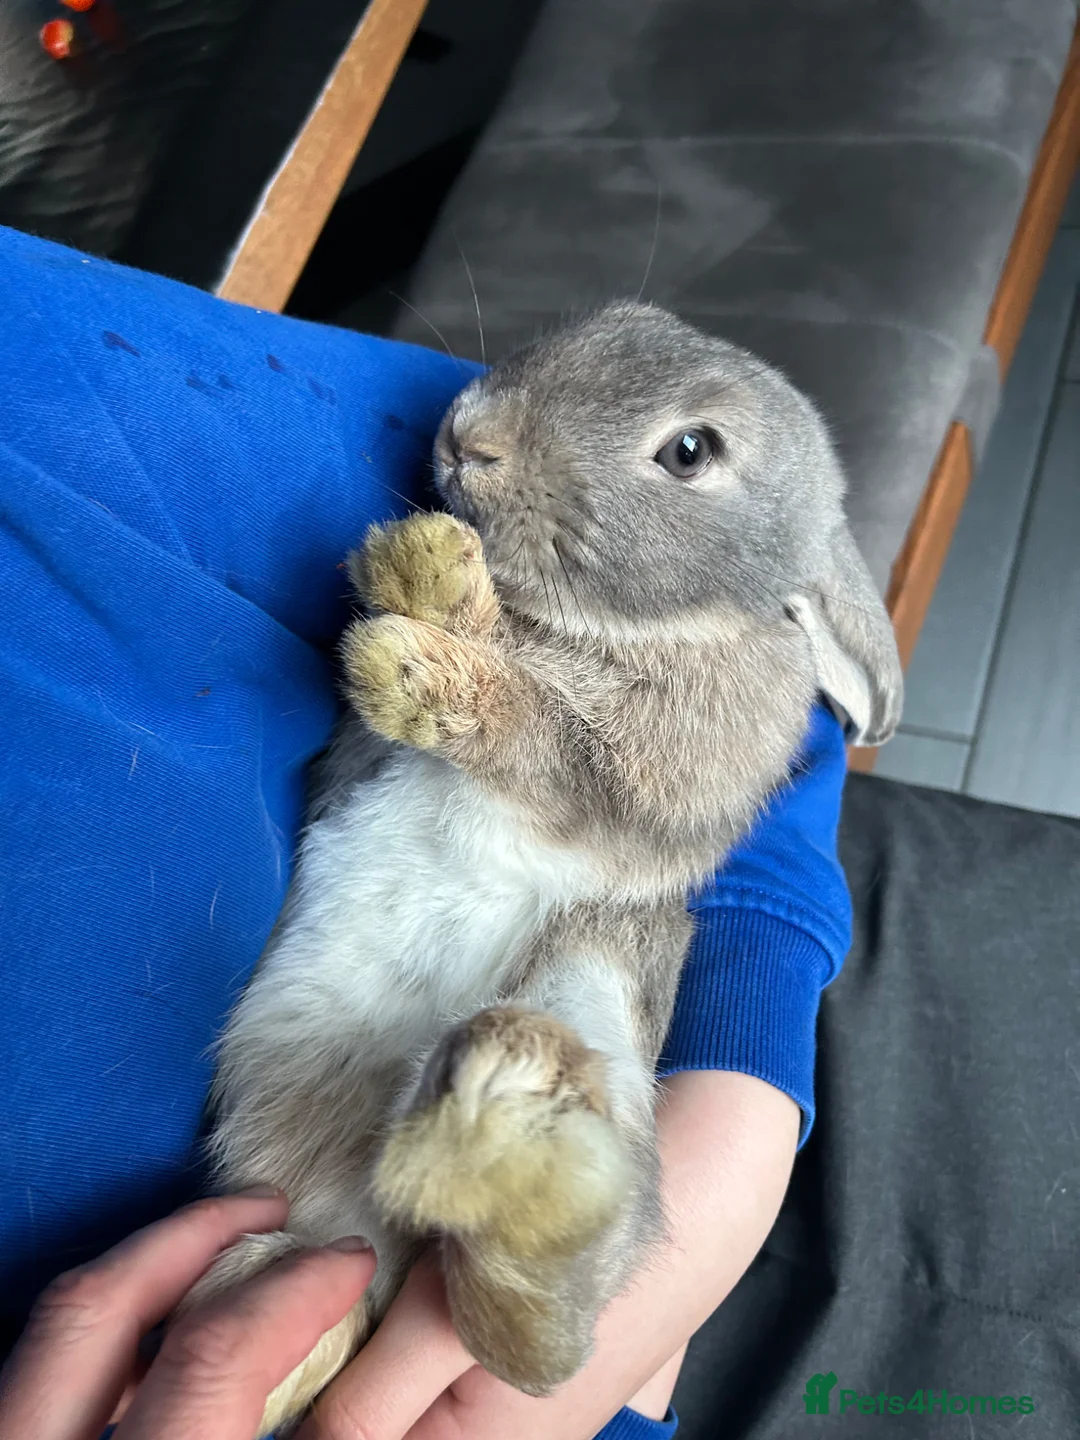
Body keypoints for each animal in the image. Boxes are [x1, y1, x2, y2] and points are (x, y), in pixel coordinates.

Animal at [185, 300, 902, 1436]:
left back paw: (516, 1188)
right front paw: (427, 565)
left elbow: (541, 732)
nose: (470, 436)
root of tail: (375, 1209)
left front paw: (421, 644)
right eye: (609, 319)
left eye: (690, 451)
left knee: (539, 1337)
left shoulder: (627, 783)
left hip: (598, 977)